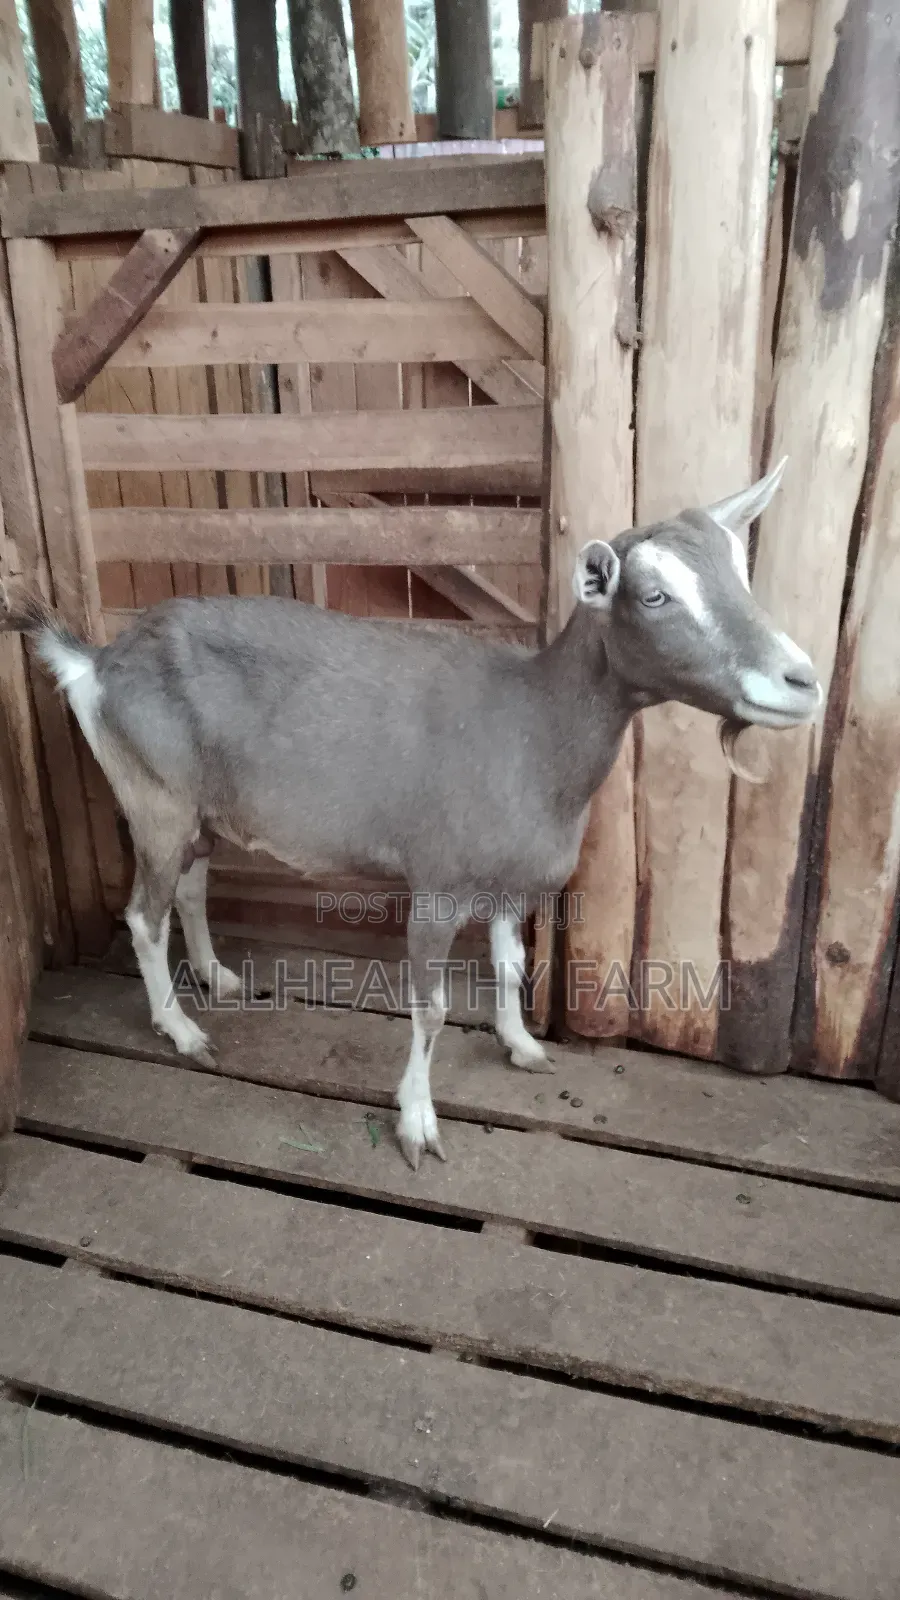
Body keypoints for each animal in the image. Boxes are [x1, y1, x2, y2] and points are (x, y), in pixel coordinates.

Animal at [2, 458, 821, 1169]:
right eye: (654, 596)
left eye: (741, 573)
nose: (802, 681)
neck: (531, 728)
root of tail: (97, 665)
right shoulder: (437, 886)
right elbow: (429, 1010)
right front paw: (418, 1124)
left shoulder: (512, 883)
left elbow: (511, 965)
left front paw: (522, 1046)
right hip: (155, 798)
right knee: (144, 914)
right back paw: (181, 1029)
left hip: (202, 807)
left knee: (191, 889)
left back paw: (217, 979)